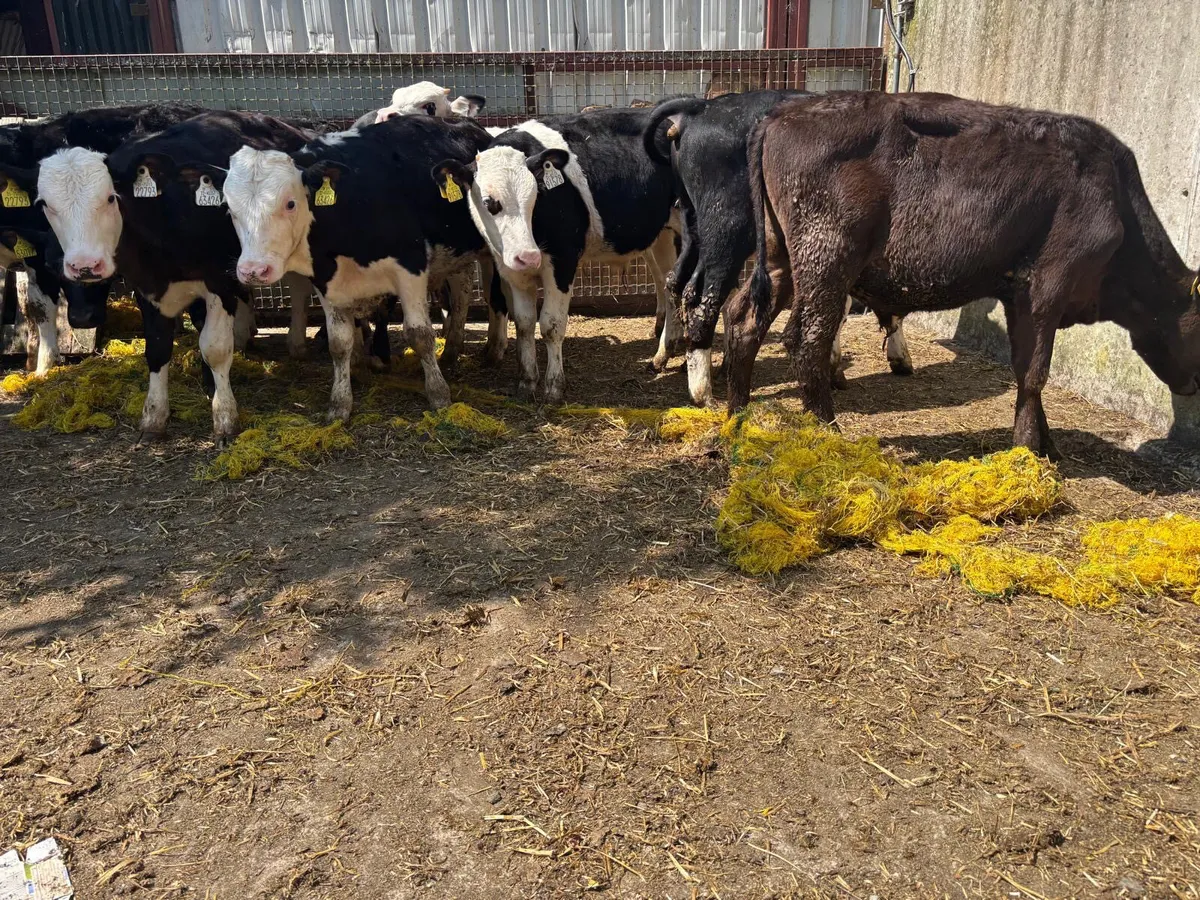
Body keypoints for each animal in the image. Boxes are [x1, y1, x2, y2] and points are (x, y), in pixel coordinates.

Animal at [36, 111, 317, 445]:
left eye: (110, 198)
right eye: (46, 205)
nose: (84, 265)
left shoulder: (219, 282)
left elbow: (215, 348)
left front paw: (225, 419)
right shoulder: (147, 288)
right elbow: (157, 348)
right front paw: (154, 418)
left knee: (298, 287)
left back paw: (295, 344)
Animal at [220, 114, 495, 422]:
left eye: (290, 203)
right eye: (229, 208)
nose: (253, 270)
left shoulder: (410, 268)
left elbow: (420, 334)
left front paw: (438, 394)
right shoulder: (326, 281)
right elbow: (339, 344)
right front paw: (340, 404)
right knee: (462, 288)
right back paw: (451, 349)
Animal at [435, 107, 680, 404]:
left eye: (535, 197)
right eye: (489, 202)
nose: (528, 257)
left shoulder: (562, 261)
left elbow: (551, 324)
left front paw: (553, 387)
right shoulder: (510, 269)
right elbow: (525, 322)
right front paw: (527, 382)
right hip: (662, 235)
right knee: (667, 283)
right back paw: (662, 353)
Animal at [643, 91, 913, 407]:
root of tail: (700, 108)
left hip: (692, 225)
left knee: (676, 282)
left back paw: (666, 356)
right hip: (727, 229)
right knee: (703, 301)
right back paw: (703, 394)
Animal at [741, 91, 1200, 457]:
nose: (1193, 387)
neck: (1115, 198)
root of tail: (780, 116)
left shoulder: (1018, 296)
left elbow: (1024, 367)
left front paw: (1046, 445)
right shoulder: (1047, 290)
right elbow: (1036, 372)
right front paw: (1028, 448)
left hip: (784, 260)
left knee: (745, 318)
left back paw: (737, 412)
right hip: (827, 264)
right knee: (805, 340)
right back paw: (827, 434)